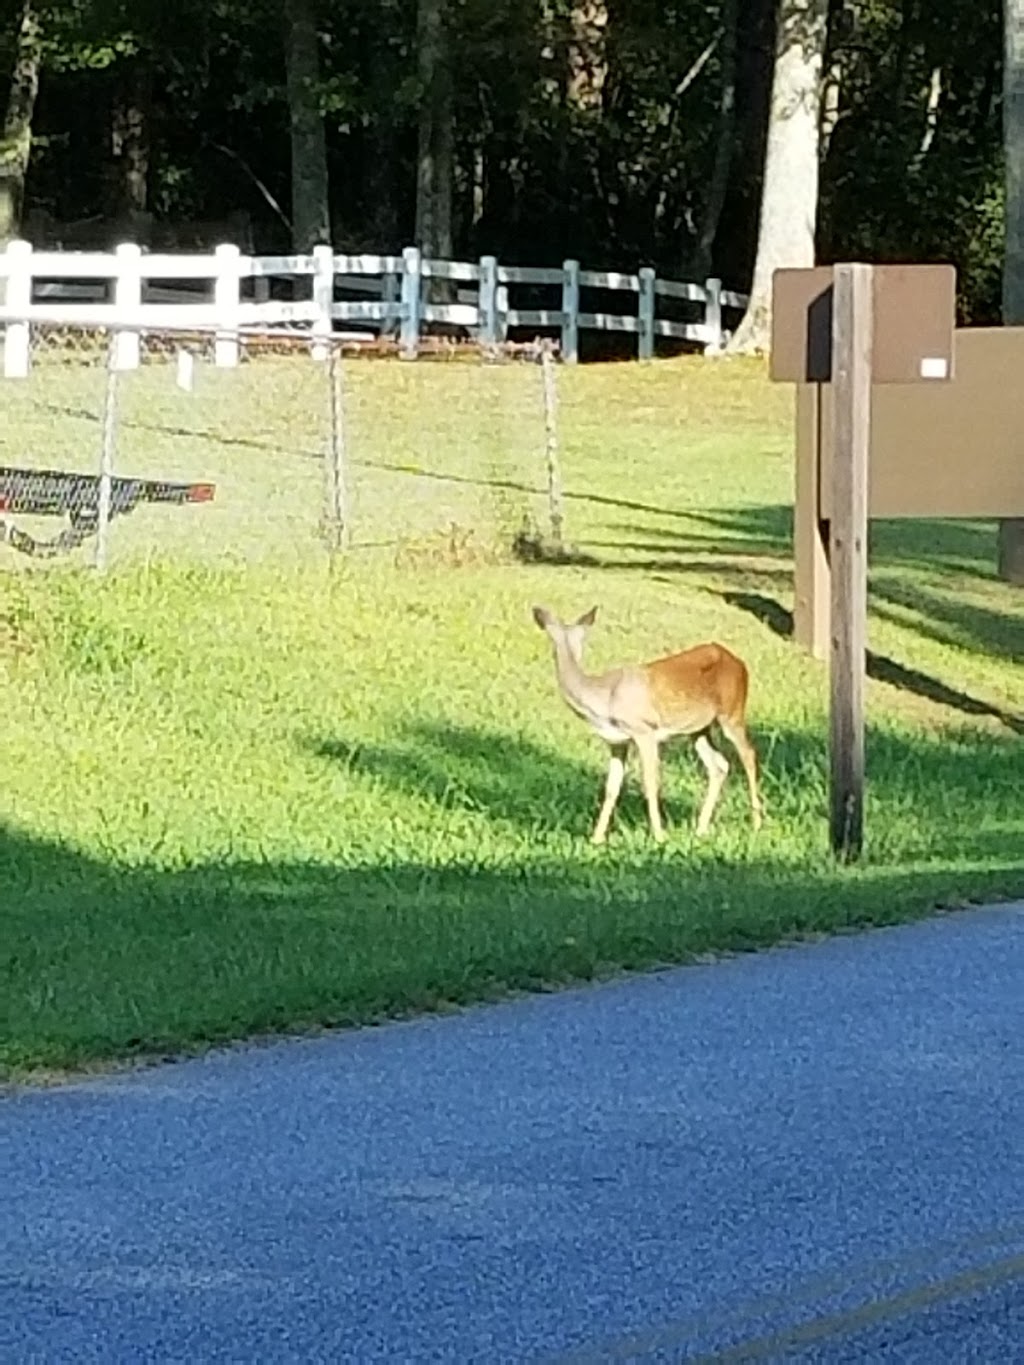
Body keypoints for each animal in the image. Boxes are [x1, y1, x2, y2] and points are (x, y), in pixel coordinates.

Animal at [537, 606, 764, 840]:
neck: (604, 697)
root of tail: (741, 664)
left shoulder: (644, 731)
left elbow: (650, 783)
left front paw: (659, 835)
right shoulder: (617, 742)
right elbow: (612, 787)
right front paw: (596, 838)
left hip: (732, 711)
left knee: (748, 754)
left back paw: (756, 823)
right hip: (699, 729)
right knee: (719, 764)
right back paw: (700, 829)